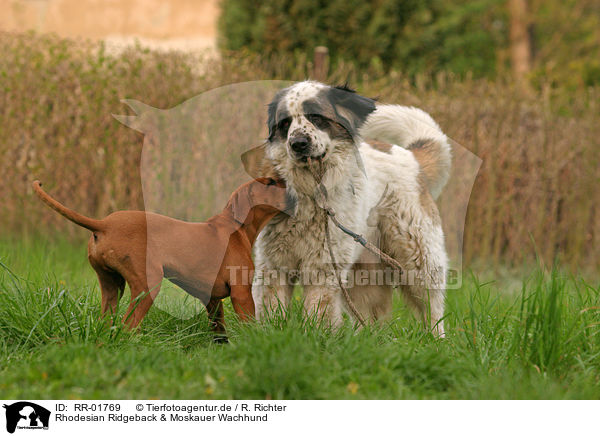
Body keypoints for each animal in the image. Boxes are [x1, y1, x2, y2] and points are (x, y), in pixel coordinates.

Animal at [34, 177, 292, 338]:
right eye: (270, 182)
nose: (290, 182)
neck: (234, 227)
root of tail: (104, 224)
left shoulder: (212, 299)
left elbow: (219, 330)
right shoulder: (241, 294)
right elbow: (249, 324)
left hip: (111, 286)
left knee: (108, 321)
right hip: (147, 286)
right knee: (128, 327)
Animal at [247, 80, 450, 336]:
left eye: (316, 117)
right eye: (285, 123)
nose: (298, 144)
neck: (310, 192)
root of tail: (411, 156)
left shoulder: (323, 268)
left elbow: (318, 310)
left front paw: (316, 336)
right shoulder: (274, 265)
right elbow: (272, 308)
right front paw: (271, 334)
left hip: (417, 258)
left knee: (432, 305)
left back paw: (437, 339)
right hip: (364, 274)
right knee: (372, 315)